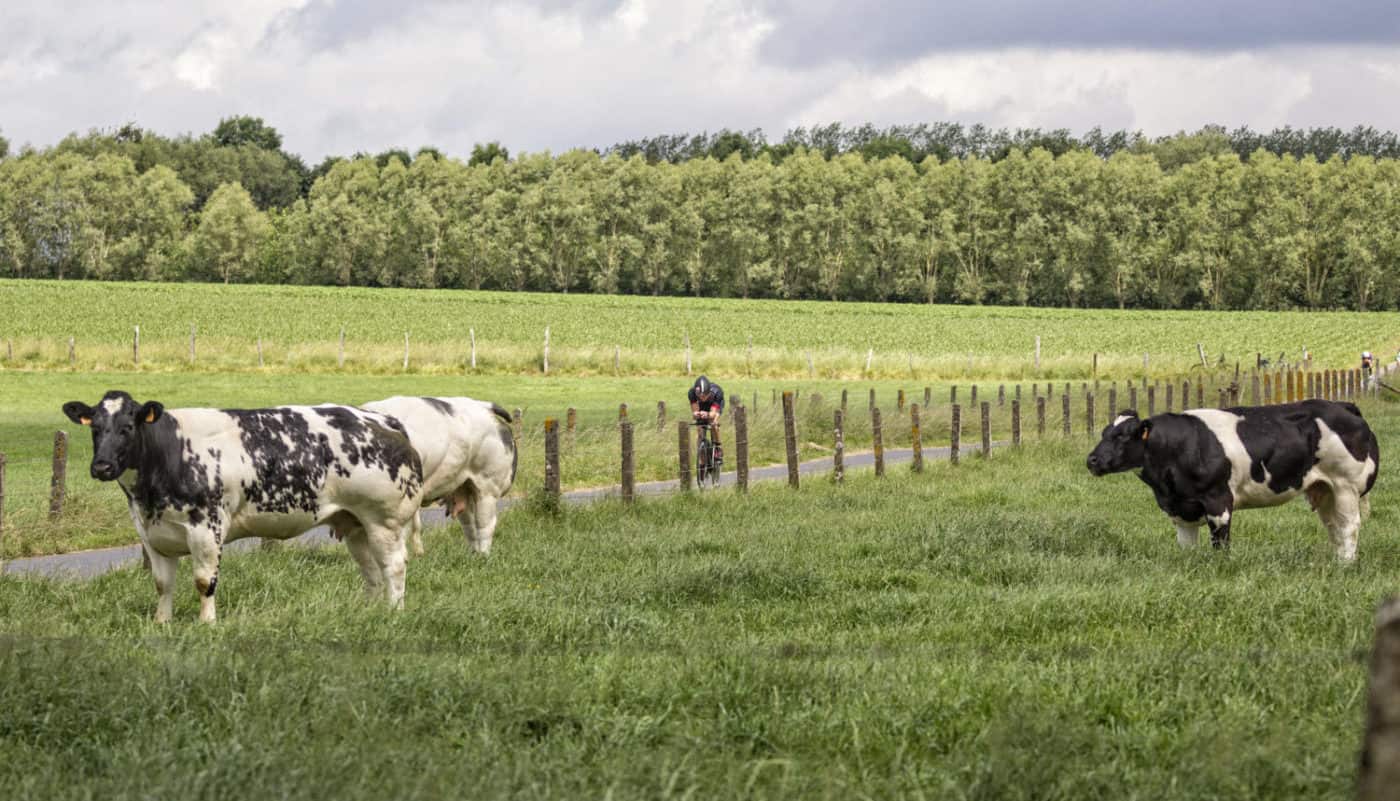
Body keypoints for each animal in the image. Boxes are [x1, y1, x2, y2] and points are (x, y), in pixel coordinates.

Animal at [361, 394, 515, 557]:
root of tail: (486, 406)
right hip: (464, 487)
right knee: (469, 524)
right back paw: (473, 555)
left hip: (489, 483)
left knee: (485, 523)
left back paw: (483, 556)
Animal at [1080, 397, 1377, 560]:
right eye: (1104, 433)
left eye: (1122, 436)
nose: (1091, 460)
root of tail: (1343, 406)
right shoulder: (1180, 507)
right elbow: (1187, 546)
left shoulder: (1218, 500)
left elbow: (1220, 543)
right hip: (1324, 489)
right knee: (1334, 526)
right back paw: (1336, 562)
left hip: (1346, 485)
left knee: (1349, 526)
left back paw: (1346, 565)